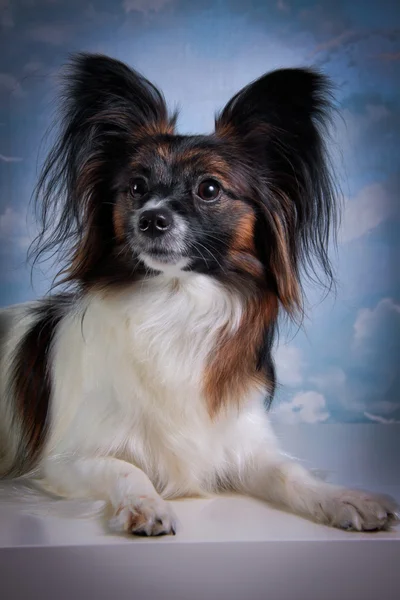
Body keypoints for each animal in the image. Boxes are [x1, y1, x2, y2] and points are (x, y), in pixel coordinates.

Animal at [0, 54, 398, 536]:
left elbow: (290, 472)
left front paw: (345, 498)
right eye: (136, 187)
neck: (176, 302)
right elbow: (127, 469)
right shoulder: (64, 461)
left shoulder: (240, 444)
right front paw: (146, 505)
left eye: (209, 189)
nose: (151, 219)